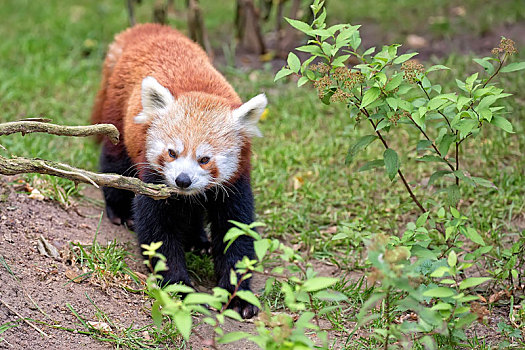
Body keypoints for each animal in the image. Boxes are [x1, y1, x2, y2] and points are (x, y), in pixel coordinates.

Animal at [91, 23, 266, 318]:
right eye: (172, 153)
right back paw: (119, 211)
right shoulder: (154, 179)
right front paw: (181, 289)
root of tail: (148, 30)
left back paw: (198, 240)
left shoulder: (236, 181)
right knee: (114, 161)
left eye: (204, 159)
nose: (182, 180)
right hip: (118, 112)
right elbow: (158, 232)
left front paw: (238, 296)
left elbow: (235, 232)